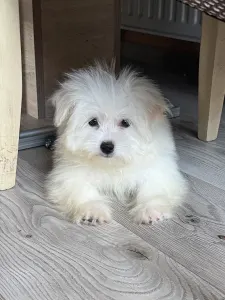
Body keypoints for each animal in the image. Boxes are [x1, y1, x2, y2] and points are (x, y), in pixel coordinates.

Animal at [45, 62, 186, 224]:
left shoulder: (159, 169)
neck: (113, 165)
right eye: (93, 122)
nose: (107, 147)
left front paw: (150, 210)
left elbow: (153, 187)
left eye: (125, 123)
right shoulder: (70, 173)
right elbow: (82, 189)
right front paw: (92, 210)